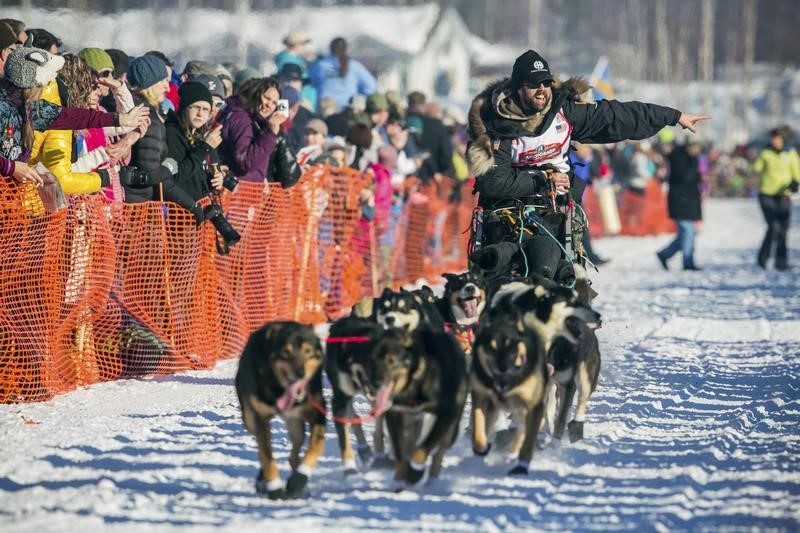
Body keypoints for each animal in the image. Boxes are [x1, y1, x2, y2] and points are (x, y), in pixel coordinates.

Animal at [236, 320, 326, 498]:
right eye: (286, 352)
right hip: (249, 419)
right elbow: (267, 457)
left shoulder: (317, 413)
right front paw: (275, 488)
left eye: (307, 351)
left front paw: (299, 479)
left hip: (295, 424)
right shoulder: (261, 419)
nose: (300, 373)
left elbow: (315, 447)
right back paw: (263, 480)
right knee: (262, 451)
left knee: (294, 453)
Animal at [468, 314, 552, 476]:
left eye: (511, 346)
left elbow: (527, 439)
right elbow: (478, 424)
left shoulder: (534, 406)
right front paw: (481, 446)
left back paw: (512, 450)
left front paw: (521, 466)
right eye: (491, 347)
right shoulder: (480, 396)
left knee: (523, 430)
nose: (502, 367)